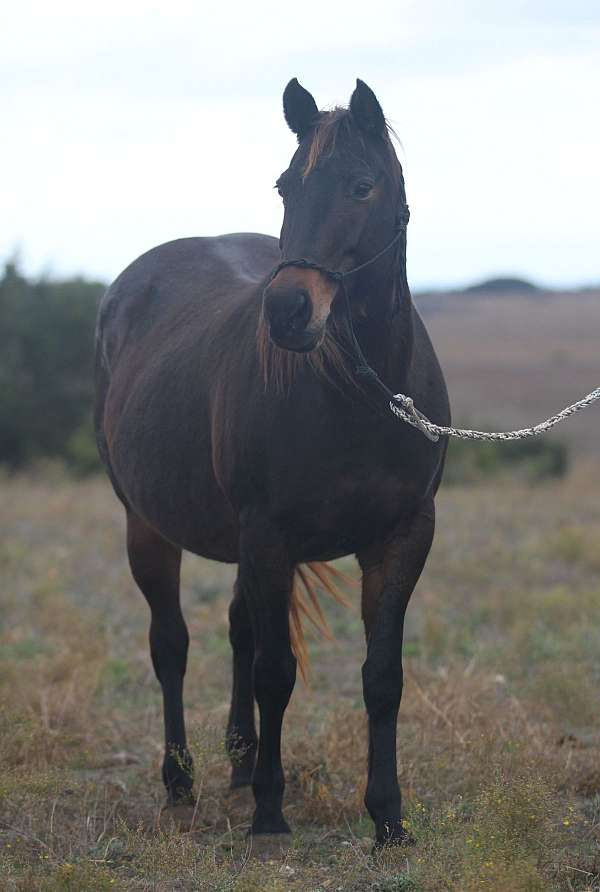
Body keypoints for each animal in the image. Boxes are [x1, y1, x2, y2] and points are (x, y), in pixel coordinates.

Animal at [95, 80, 450, 848]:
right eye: (287, 186)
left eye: (362, 186)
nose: (288, 311)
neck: (359, 394)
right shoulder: (269, 536)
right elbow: (276, 672)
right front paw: (269, 814)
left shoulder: (402, 537)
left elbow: (382, 675)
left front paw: (388, 819)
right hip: (148, 526)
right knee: (171, 645)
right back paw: (183, 784)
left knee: (238, 630)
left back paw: (237, 762)